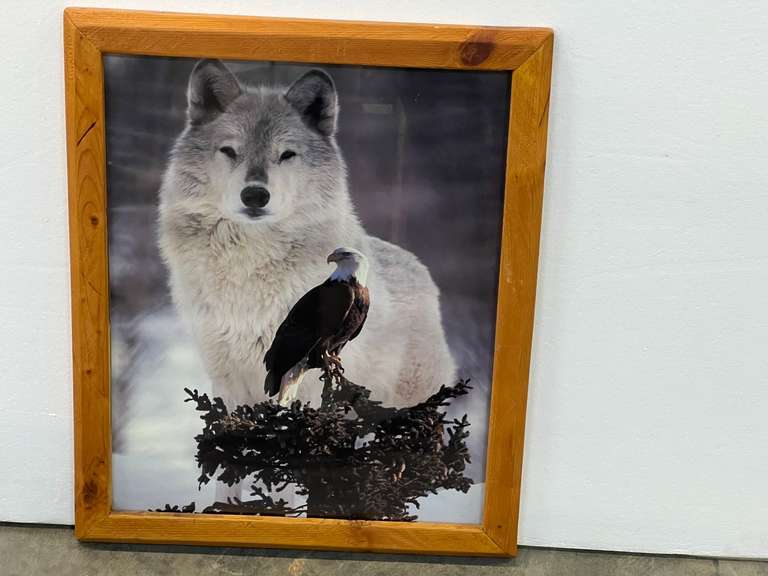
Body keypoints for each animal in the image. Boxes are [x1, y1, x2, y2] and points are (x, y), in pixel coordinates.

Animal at [158, 60, 456, 416]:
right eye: (229, 151)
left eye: (287, 155)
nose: (255, 195)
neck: (249, 267)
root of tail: (421, 270)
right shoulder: (228, 376)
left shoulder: (304, 370)